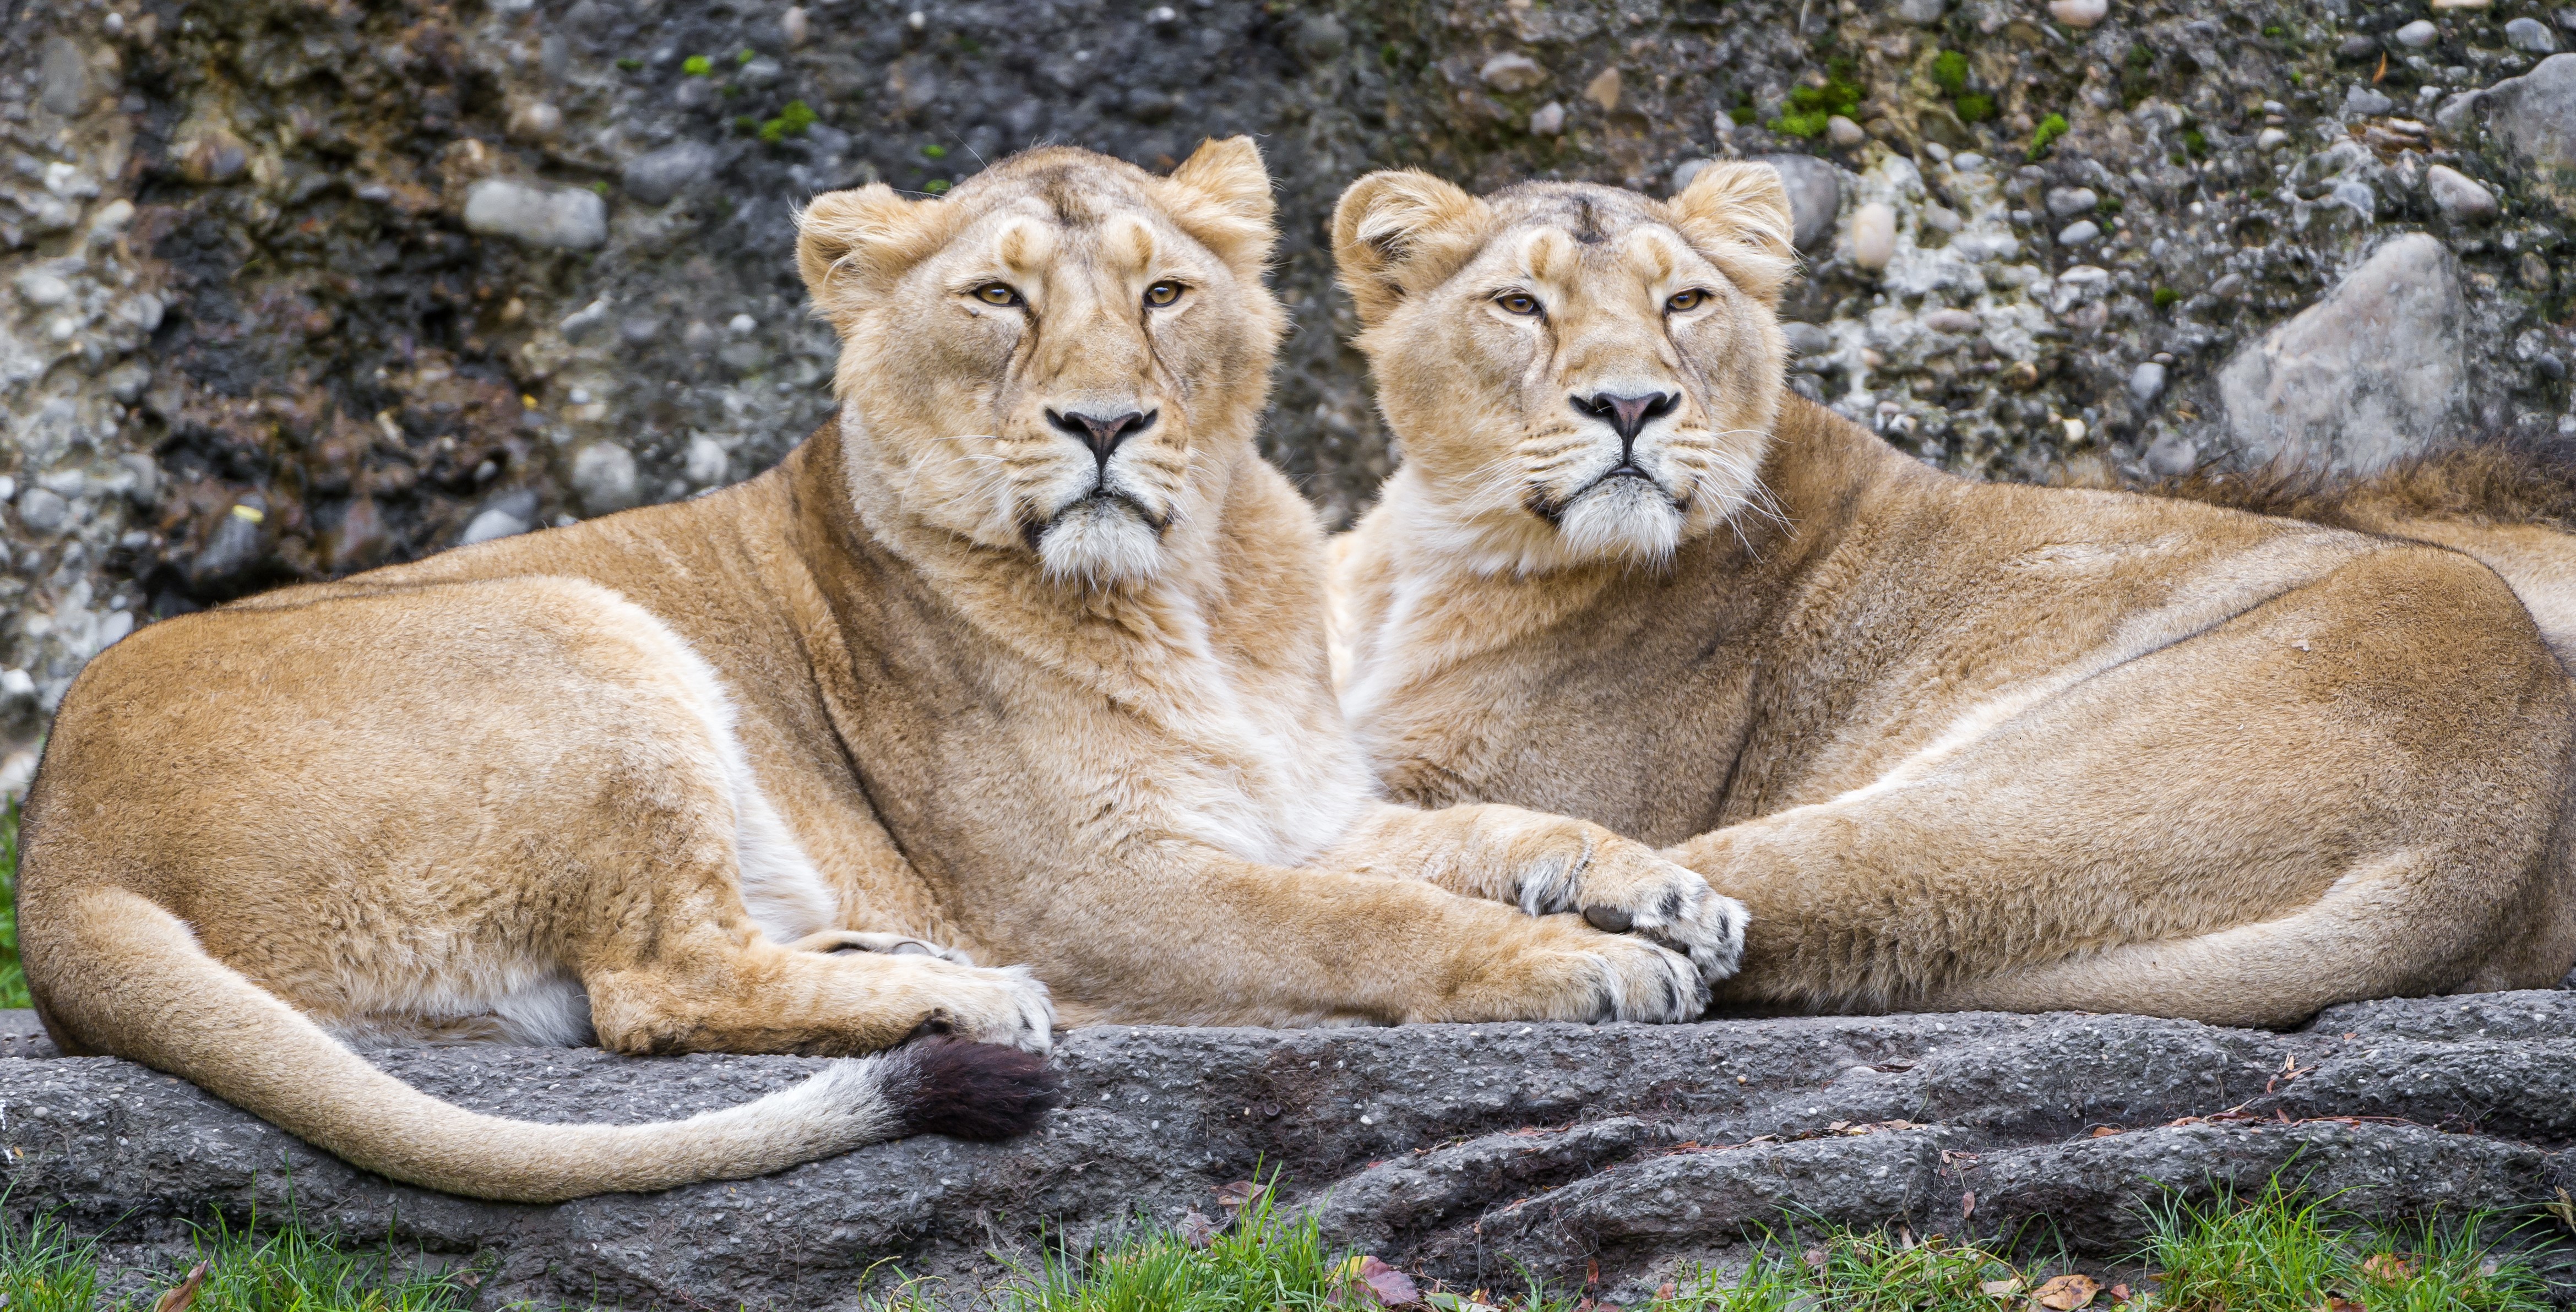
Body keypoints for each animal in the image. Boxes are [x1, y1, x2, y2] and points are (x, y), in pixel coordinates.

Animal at [15, 141, 1744, 1204]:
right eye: (996, 296)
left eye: (1163, 291)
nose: (1105, 423)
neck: (1195, 587)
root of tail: (60, 859)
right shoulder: (1094, 890)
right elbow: (1371, 917)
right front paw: (1579, 966)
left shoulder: (1295, 806)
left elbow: (1493, 830)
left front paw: (1665, 892)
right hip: (581, 622)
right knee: (655, 990)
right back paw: (958, 993)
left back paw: (884, 948)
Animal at [1324, 161, 2576, 1028]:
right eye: (1517, 304)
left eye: (1683, 301)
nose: (1630, 404)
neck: (1432, 550)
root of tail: (2483, 854)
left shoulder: (1518, 776)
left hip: (2012, 787)